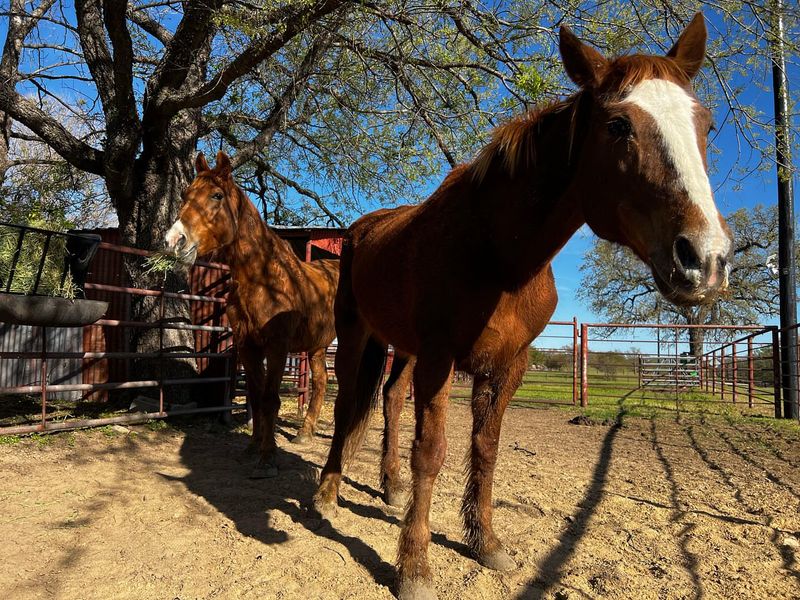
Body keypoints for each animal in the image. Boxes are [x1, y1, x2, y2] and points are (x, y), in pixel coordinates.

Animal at [310, 14, 732, 600]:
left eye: (707, 126)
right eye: (618, 125)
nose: (705, 259)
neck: (499, 253)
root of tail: (361, 230)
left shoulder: (508, 364)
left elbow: (485, 448)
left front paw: (485, 543)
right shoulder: (441, 358)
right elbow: (432, 452)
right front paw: (414, 567)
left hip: (402, 348)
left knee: (390, 400)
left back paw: (389, 488)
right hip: (355, 334)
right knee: (349, 403)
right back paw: (326, 494)